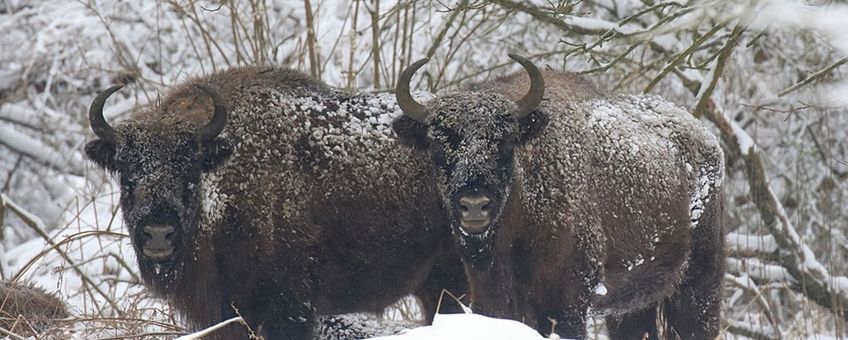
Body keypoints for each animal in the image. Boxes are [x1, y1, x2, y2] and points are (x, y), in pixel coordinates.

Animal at [394, 54, 724, 338]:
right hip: (632, 302)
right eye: (438, 145)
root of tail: (706, 139)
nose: (474, 206)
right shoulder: (489, 294)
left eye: (506, 142)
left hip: (699, 284)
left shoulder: (567, 302)